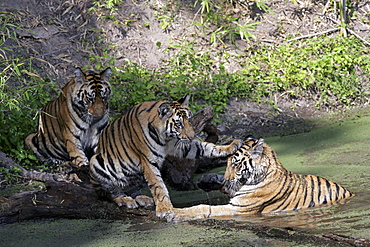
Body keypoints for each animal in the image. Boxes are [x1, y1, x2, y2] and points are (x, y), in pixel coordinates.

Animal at [89, 95, 243, 218]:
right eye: (179, 124)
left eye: (189, 121)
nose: (192, 136)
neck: (165, 138)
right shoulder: (148, 161)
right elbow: (158, 186)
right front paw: (165, 209)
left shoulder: (180, 145)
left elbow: (207, 147)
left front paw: (231, 146)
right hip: (96, 163)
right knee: (108, 192)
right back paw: (124, 200)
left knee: (133, 189)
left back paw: (143, 198)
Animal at [167, 136, 352, 223]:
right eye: (227, 163)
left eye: (235, 164)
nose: (227, 178)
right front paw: (206, 180)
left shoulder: (239, 209)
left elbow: (205, 208)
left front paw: (174, 214)